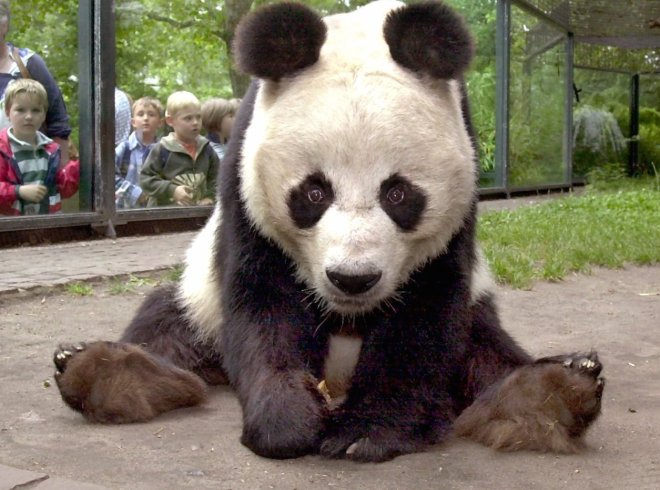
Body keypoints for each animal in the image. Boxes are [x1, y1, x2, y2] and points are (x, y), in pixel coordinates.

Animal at [53, 0, 604, 462]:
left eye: (398, 194)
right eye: (313, 193)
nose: (352, 279)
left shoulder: (457, 199)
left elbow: (424, 316)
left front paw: (367, 432)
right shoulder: (245, 185)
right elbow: (263, 303)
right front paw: (287, 423)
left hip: (480, 315)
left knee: (487, 350)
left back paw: (554, 391)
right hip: (199, 302)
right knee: (167, 324)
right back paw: (103, 373)